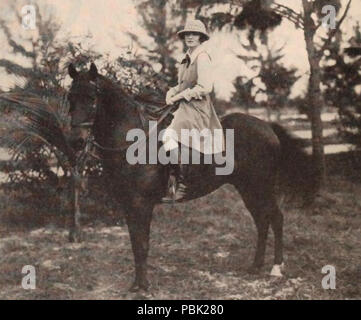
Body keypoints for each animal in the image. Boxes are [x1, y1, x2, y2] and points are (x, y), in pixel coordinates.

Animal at [66, 62, 314, 292]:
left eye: (92, 99)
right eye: (70, 98)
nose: (76, 141)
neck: (133, 142)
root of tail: (267, 126)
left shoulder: (142, 204)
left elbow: (142, 244)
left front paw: (143, 286)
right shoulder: (129, 205)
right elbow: (135, 243)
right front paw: (136, 284)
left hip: (262, 186)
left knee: (276, 218)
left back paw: (276, 268)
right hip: (247, 188)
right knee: (262, 221)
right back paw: (255, 266)